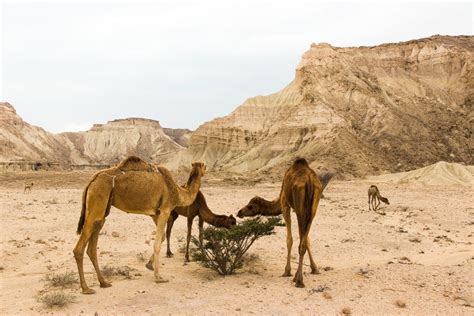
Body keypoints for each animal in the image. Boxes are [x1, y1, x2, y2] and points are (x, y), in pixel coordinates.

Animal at [72, 156, 206, 294]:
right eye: (205, 166)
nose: (206, 170)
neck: (178, 192)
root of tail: (92, 180)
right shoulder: (165, 210)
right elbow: (157, 243)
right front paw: (159, 277)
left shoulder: (155, 213)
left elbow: (162, 237)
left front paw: (149, 265)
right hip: (97, 200)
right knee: (80, 247)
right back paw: (86, 288)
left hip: (102, 211)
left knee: (92, 246)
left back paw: (103, 283)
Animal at [236, 158, 322, 288]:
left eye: (250, 206)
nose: (239, 212)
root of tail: (310, 181)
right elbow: (306, 240)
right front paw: (314, 269)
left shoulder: (285, 205)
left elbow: (289, 240)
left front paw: (287, 271)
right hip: (312, 209)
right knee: (304, 241)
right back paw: (299, 278)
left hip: (300, 209)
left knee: (299, 243)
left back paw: (298, 281)